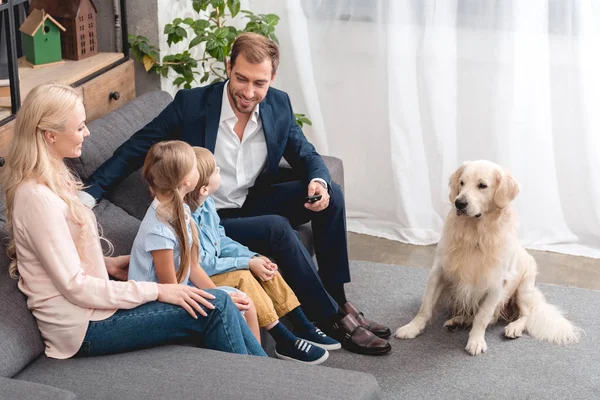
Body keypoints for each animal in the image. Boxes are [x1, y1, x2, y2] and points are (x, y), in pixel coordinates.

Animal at [396, 161, 580, 354]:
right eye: (462, 183)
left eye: (482, 185)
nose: (459, 203)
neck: (475, 234)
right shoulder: (439, 271)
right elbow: (426, 306)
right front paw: (411, 328)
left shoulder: (495, 284)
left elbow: (483, 316)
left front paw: (476, 341)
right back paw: (458, 320)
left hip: (523, 289)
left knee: (523, 314)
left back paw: (513, 327)